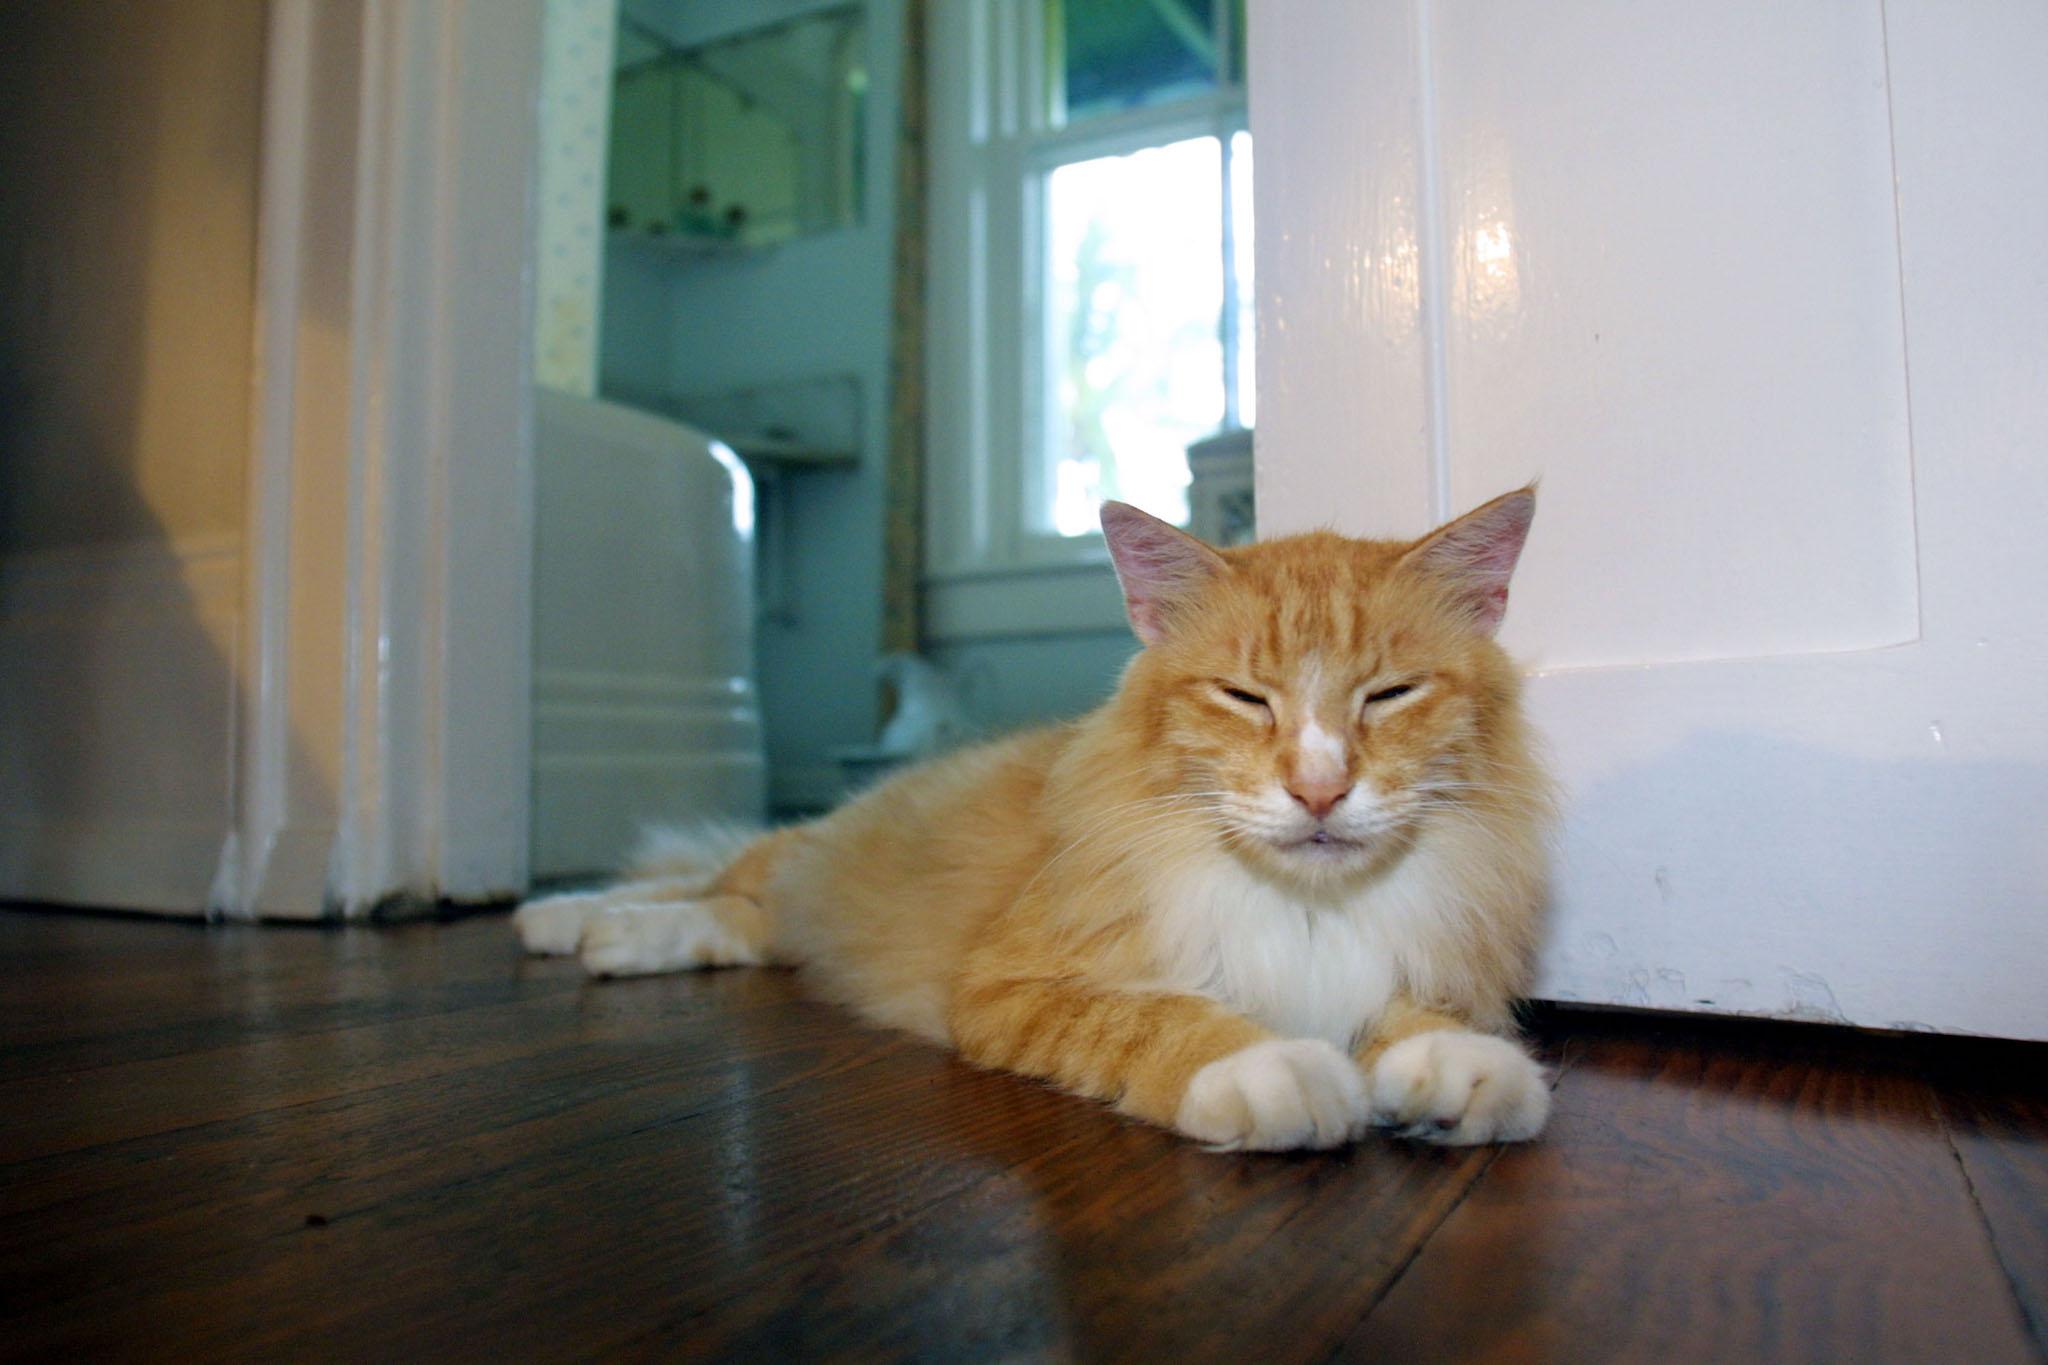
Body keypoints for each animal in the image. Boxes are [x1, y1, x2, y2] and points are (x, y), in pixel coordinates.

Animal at [512, 491, 1548, 1154]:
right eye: (1245, 697)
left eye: (1390, 695)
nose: (1321, 790)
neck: (1306, 906)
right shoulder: (1010, 984)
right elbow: (1159, 1021)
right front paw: (1271, 1069)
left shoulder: (1410, 959)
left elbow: (1419, 1016)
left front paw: (1460, 1068)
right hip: (805, 857)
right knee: (711, 880)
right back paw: (574, 921)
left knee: (741, 919)